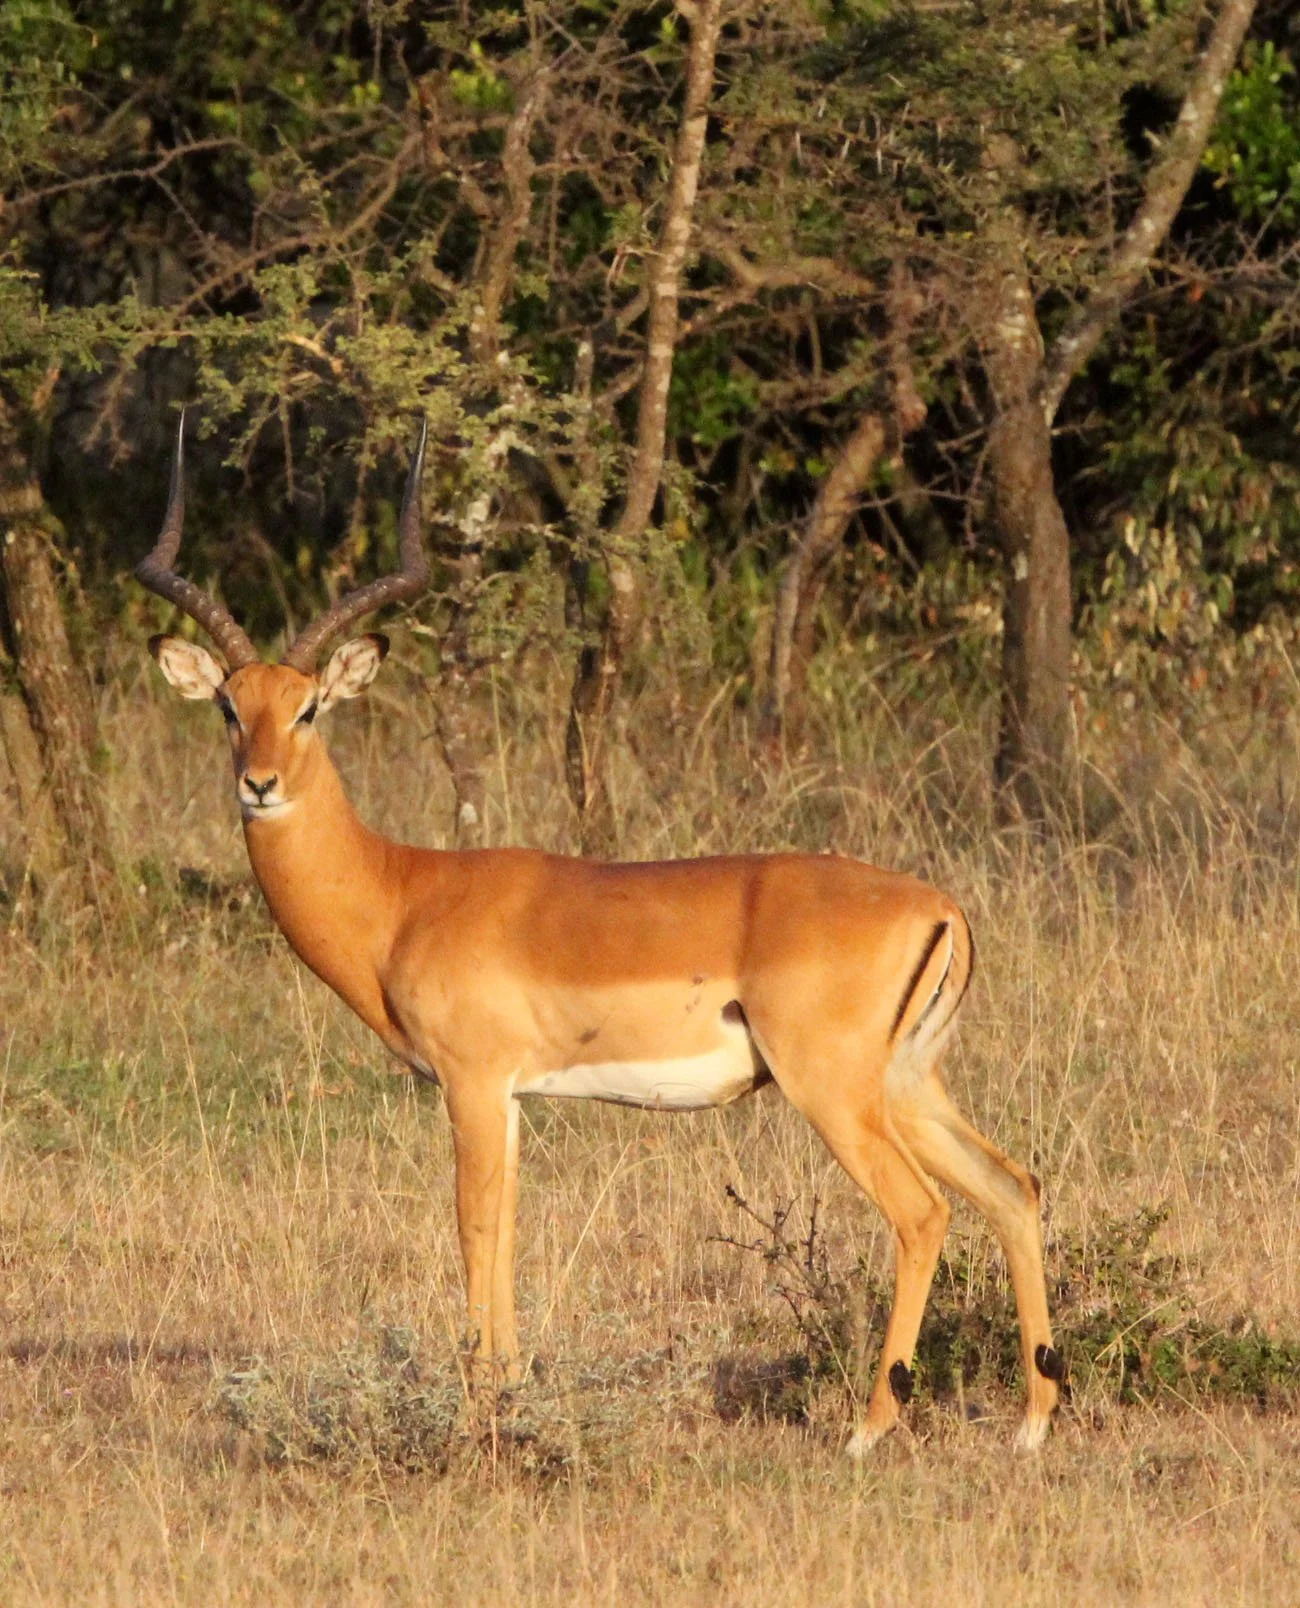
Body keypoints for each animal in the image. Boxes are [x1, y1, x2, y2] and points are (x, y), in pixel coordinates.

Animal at [139, 419, 1063, 1453]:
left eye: (309, 707)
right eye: (230, 705)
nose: (258, 784)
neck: (402, 893)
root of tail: (940, 907)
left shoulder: (470, 1084)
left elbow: (474, 1229)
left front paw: (482, 1413)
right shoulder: (509, 1098)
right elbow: (506, 1232)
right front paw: (505, 1395)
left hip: (833, 1091)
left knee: (923, 1212)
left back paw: (869, 1427)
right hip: (907, 1085)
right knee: (1013, 1187)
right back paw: (1031, 1424)